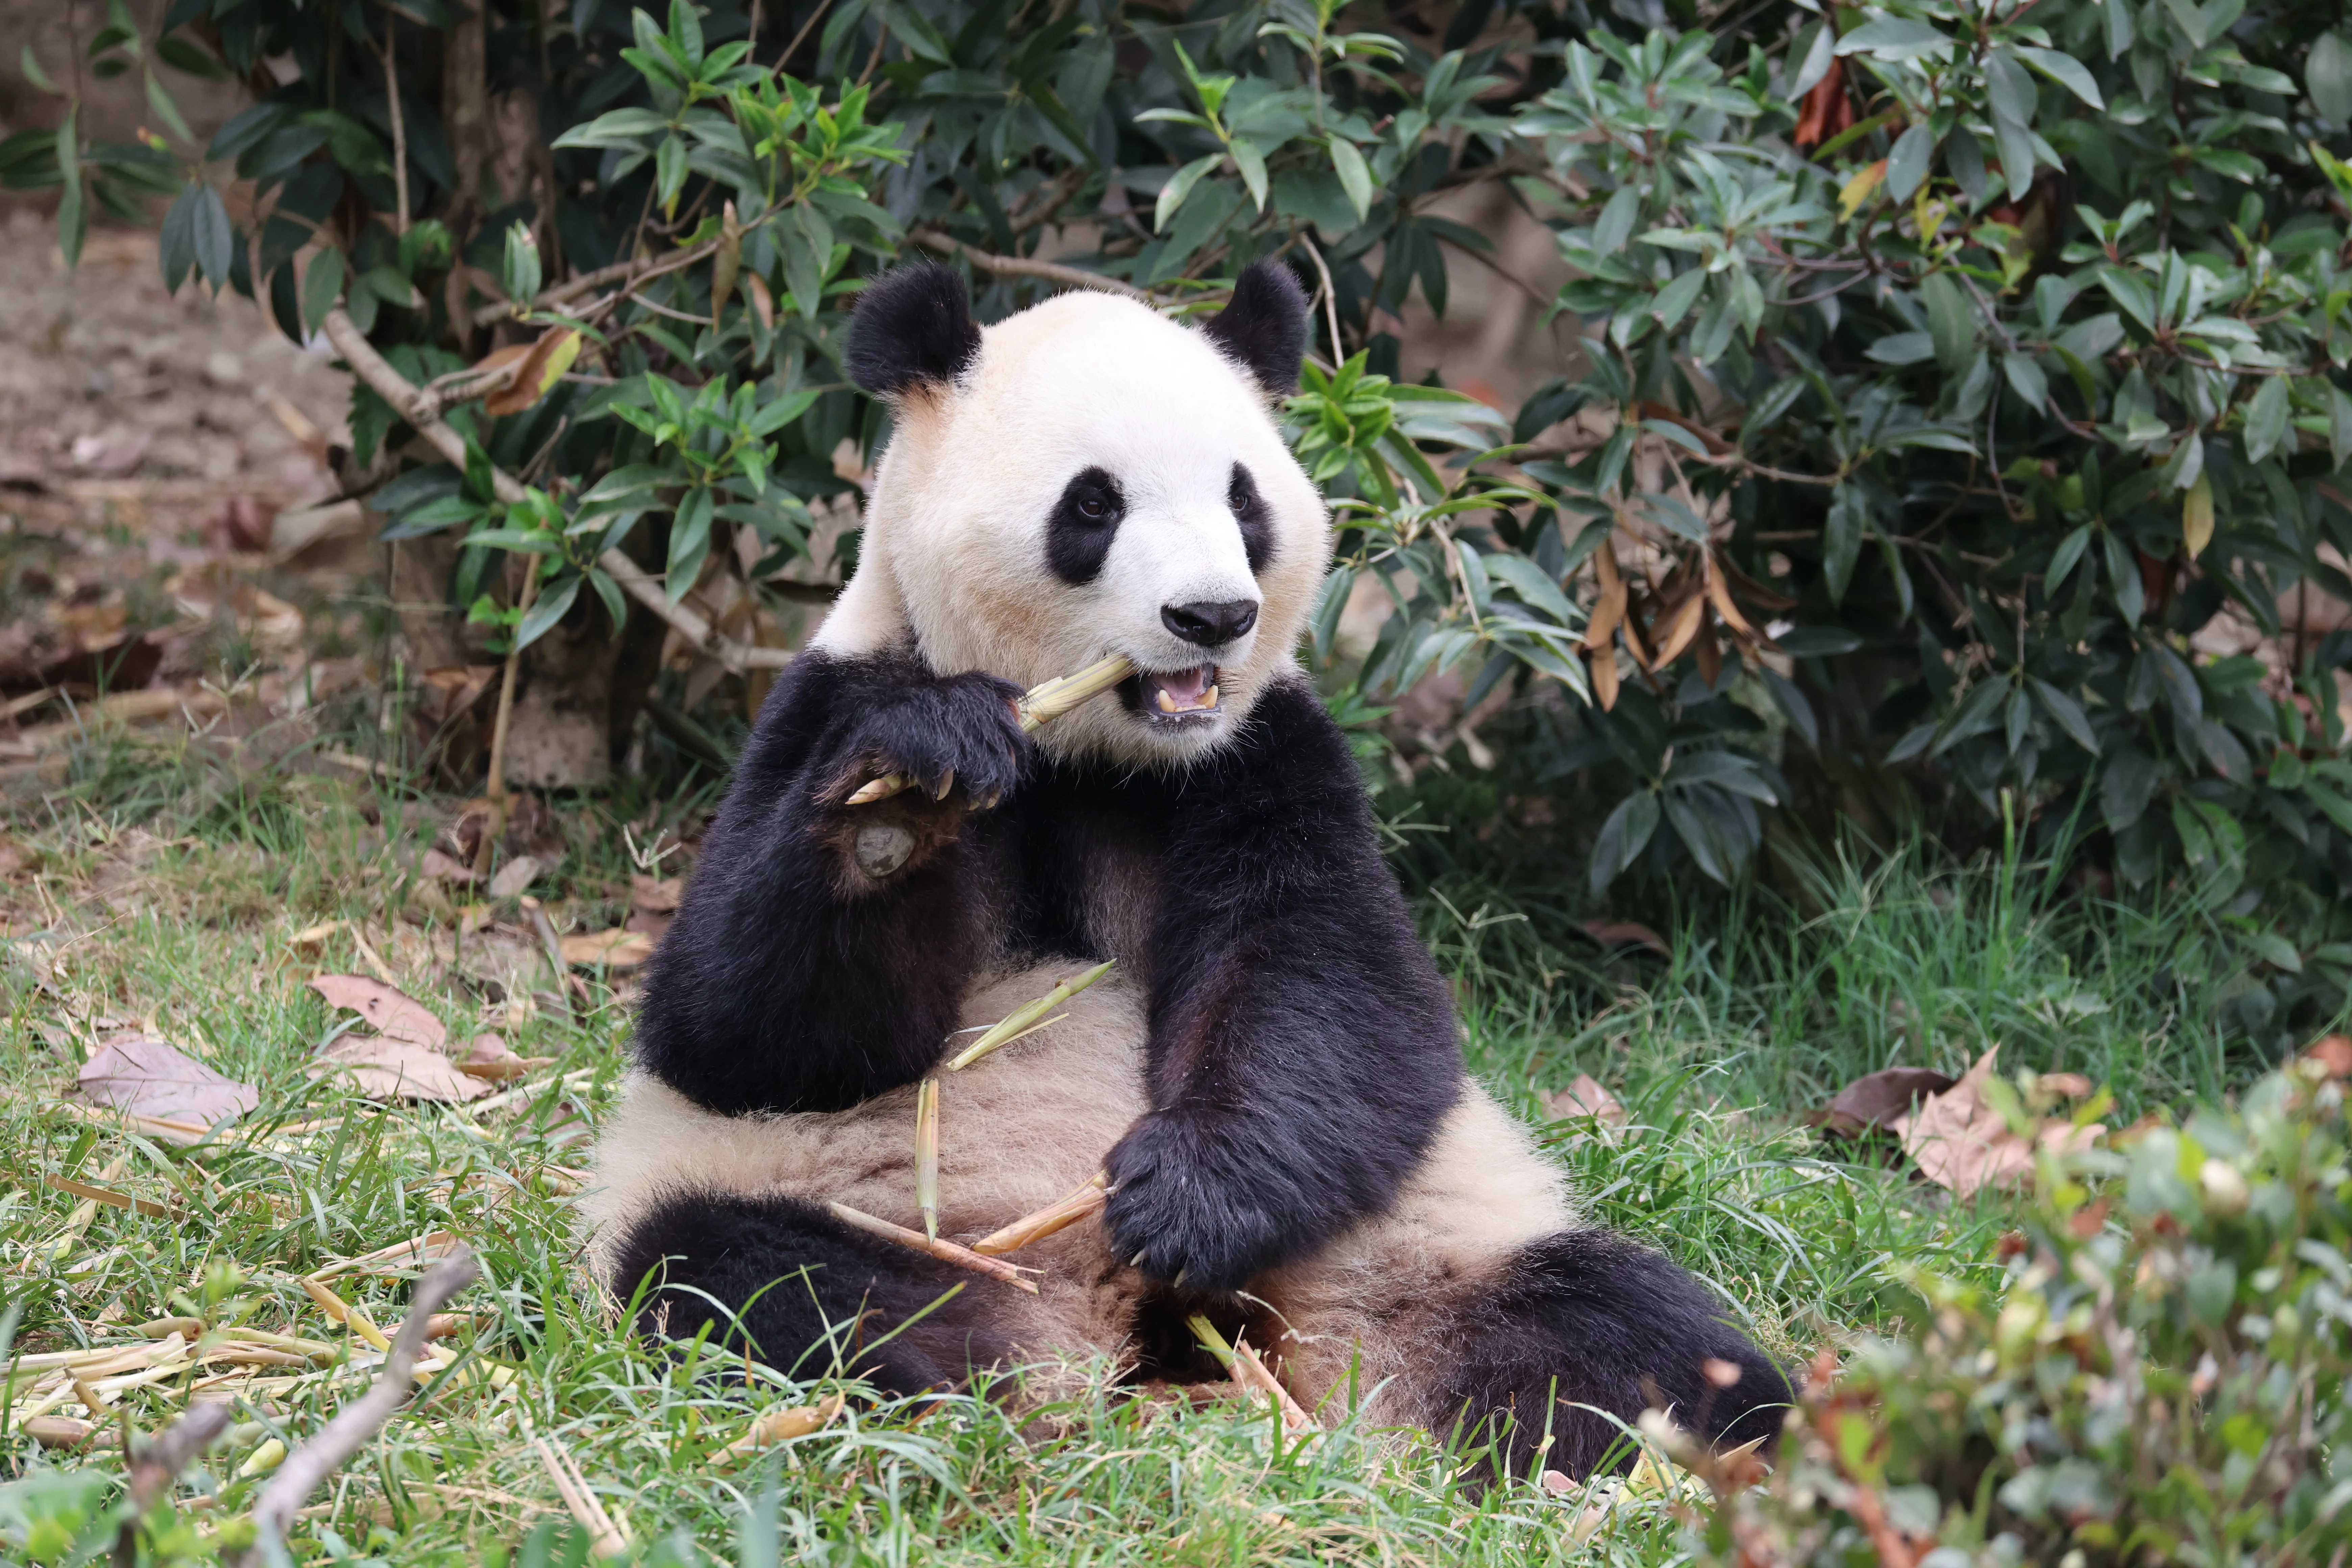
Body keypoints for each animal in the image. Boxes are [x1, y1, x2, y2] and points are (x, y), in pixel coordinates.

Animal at [579, 260, 1790, 1481]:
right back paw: (951, 1410)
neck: (1093, 750)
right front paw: (909, 794)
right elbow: (741, 1030)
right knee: (751, 1280)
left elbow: (1335, 992)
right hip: (869, 1213)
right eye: (1093, 505)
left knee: (1624, 1329)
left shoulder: (1264, 759)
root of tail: (1127, 1325)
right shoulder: (830, 698)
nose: (1213, 616)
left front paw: (1186, 1199)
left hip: (1409, 1249)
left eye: (1243, 499)